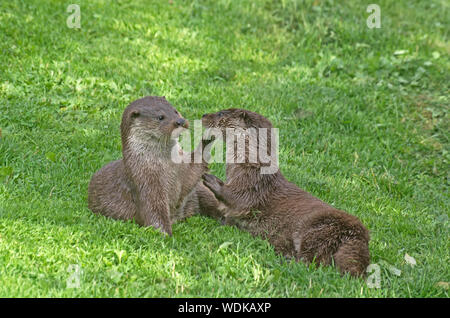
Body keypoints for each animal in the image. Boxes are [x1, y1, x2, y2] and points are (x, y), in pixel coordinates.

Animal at [86, 97, 220, 236]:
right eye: (160, 117)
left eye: (175, 111)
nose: (181, 121)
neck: (166, 166)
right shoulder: (146, 183)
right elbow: (155, 212)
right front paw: (166, 235)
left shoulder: (183, 168)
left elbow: (194, 170)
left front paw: (207, 138)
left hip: (200, 189)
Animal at [202, 108, 370, 276]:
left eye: (220, 114)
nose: (204, 115)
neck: (252, 166)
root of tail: (357, 237)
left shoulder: (253, 185)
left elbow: (238, 199)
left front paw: (211, 179)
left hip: (318, 229)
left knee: (312, 261)